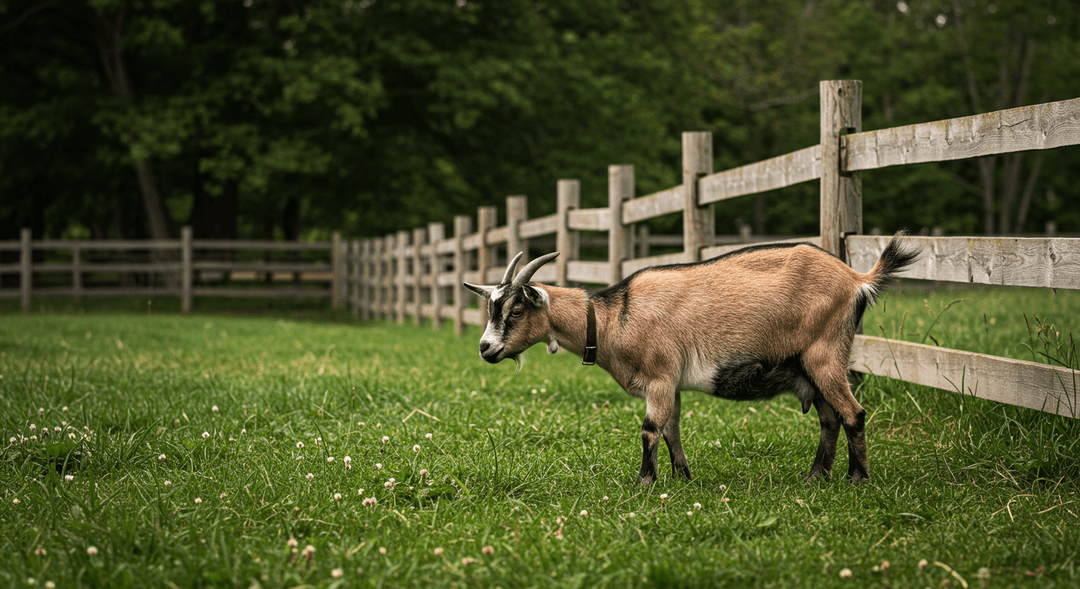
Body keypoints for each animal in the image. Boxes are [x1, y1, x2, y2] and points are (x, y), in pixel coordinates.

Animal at [464, 233, 919, 484]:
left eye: (515, 311)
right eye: (492, 307)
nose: (486, 348)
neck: (614, 317)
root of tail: (858, 279)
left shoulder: (660, 375)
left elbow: (650, 429)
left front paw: (644, 483)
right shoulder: (671, 383)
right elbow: (672, 430)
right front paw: (682, 477)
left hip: (825, 353)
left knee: (853, 413)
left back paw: (857, 479)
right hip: (807, 365)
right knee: (829, 418)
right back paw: (815, 477)